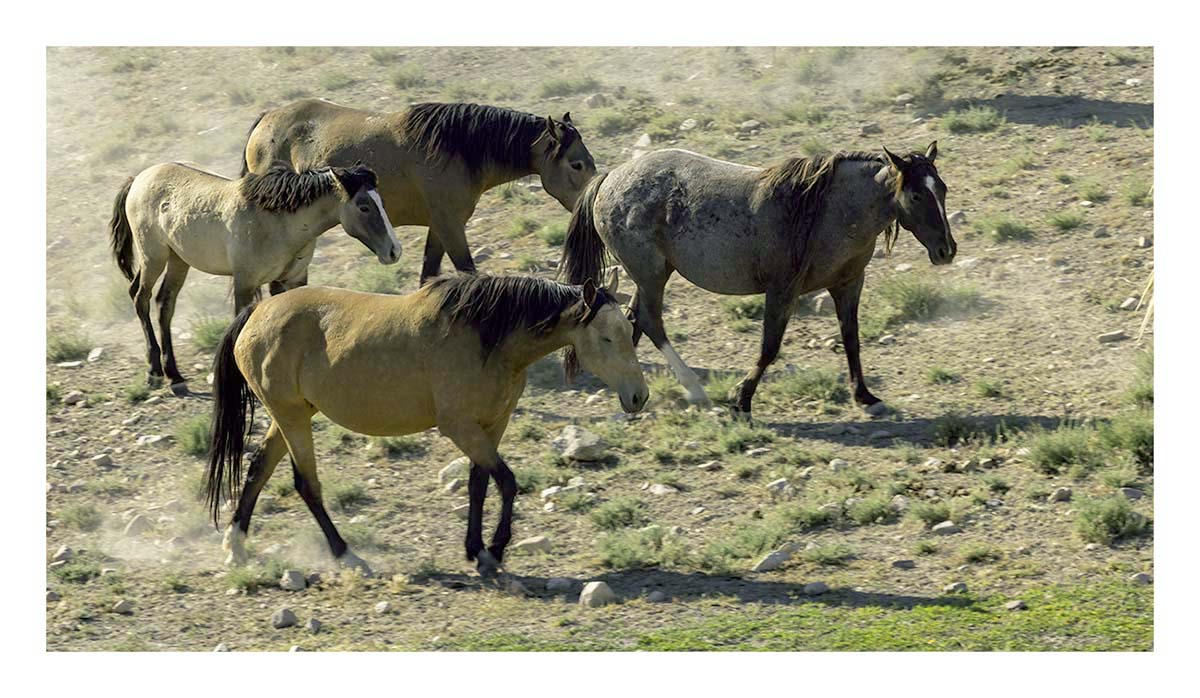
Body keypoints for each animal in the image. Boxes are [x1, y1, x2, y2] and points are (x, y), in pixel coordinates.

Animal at [107, 161, 401, 394]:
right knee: (140, 298)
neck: (277, 222)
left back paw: (175, 377)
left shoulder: (293, 280)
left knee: (164, 304)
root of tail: (138, 179)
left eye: (381, 202)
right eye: (364, 206)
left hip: (178, 261)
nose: (394, 250)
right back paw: (155, 372)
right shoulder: (245, 283)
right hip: (153, 257)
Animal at [205, 273, 648, 577]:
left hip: (291, 415)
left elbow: (479, 484)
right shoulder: (460, 427)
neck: (488, 338)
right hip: (292, 416)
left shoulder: (492, 425)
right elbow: (507, 482)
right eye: (606, 338)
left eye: (629, 331)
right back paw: (346, 554)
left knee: (259, 469)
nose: (638, 396)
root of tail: (256, 313)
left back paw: (236, 547)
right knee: (305, 484)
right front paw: (496, 551)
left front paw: (476, 550)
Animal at [241, 100, 598, 286]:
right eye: (577, 164)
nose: (591, 202)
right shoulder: (450, 227)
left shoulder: (440, 227)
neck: (457, 150)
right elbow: (467, 269)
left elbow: (429, 273)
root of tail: (267, 119)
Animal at [560, 142, 956, 419]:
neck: (828, 212)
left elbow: (852, 341)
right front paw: (741, 399)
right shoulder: (782, 290)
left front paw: (866, 397)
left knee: (634, 319)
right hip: (650, 273)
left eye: (943, 190)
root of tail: (610, 178)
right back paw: (695, 391)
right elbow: (769, 347)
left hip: (652, 275)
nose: (946, 250)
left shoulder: (848, 284)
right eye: (916, 194)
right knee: (650, 321)